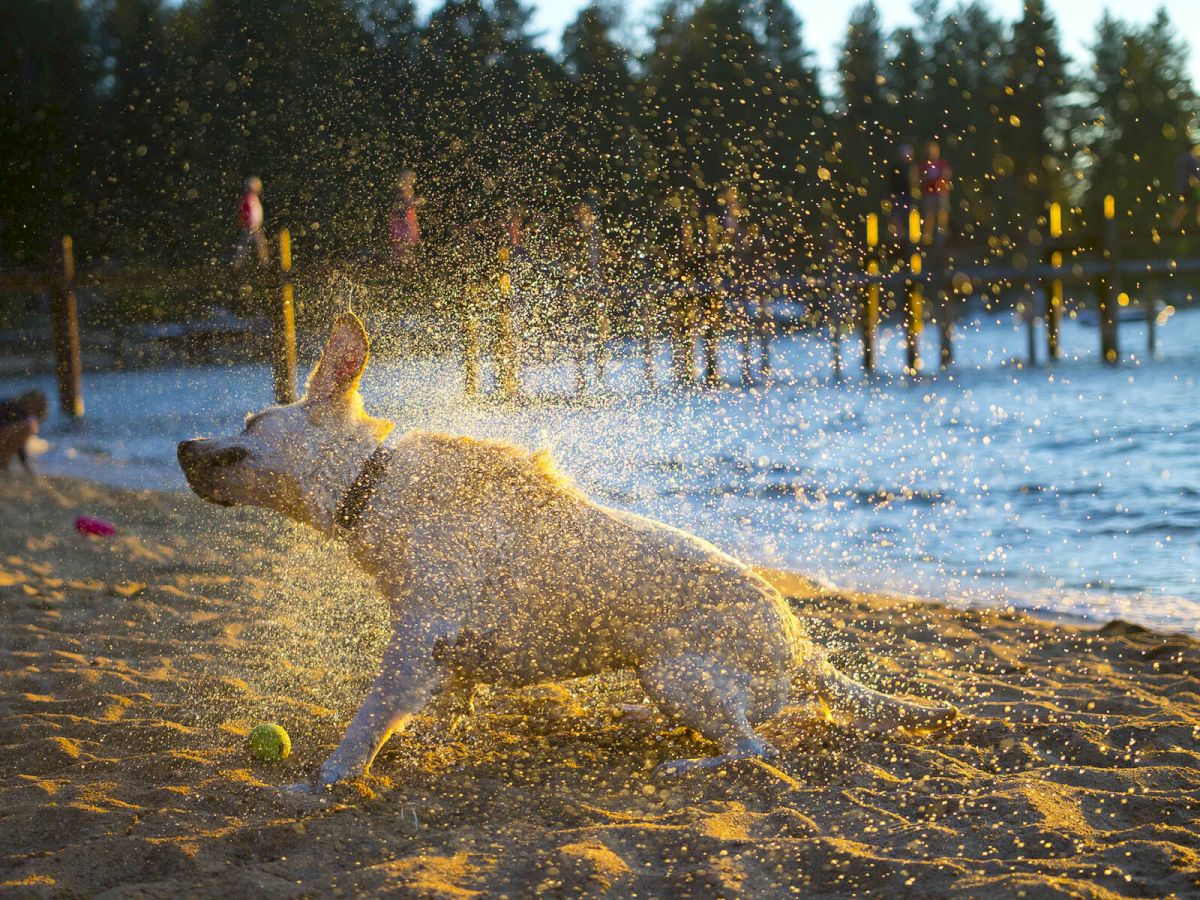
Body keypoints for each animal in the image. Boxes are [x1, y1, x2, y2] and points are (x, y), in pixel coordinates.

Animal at [177, 314, 955, 792]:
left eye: (250, 422)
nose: (182, 446)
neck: (371, 481)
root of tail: (804, 647)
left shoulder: (415, 638)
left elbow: (368, 717)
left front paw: (333, 775)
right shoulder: (442, 655)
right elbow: (442, 707)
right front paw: (431, 742)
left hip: (678, 673)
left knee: (753, 750)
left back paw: (687, 766)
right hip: (671, 678)